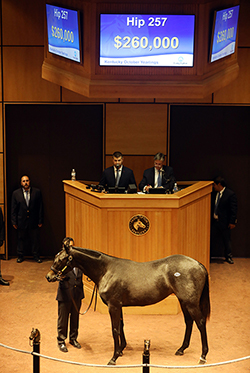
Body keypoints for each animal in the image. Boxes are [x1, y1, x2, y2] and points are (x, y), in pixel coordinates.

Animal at [46, 238, 210, 364]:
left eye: (61, 259)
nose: (49, 276)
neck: (106, 270)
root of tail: (199, 265)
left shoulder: (113, 306)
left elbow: (115, 329)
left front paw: (113, 358)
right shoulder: (118, 306)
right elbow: (121, 326)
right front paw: (121, 349)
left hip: (191, 303)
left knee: (200, 323)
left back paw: (203, 356)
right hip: (183, 301)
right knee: (189, 322)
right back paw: (181, 349)